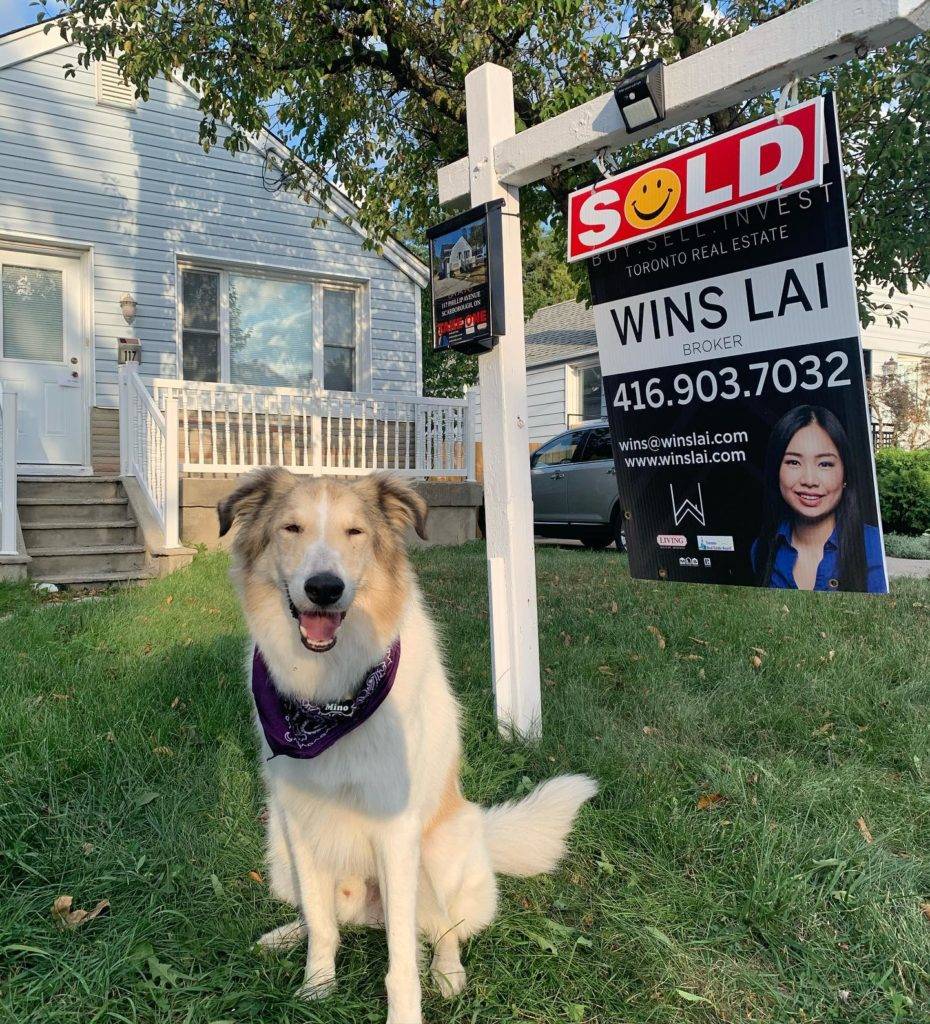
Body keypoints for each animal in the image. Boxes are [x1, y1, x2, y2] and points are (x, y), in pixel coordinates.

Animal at [218, 468, 594, 1024]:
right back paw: (286, 935)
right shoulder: (302, 824)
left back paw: (448, 973)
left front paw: (405, 1011)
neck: (328, 694)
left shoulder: (396, 833)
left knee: (443, 930)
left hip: (434, 857)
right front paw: (316, 987)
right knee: (325, 916)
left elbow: (402, 960)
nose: (324, 589)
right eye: (292, 528)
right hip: (280, 850)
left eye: (355, 533)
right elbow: (323, 925)